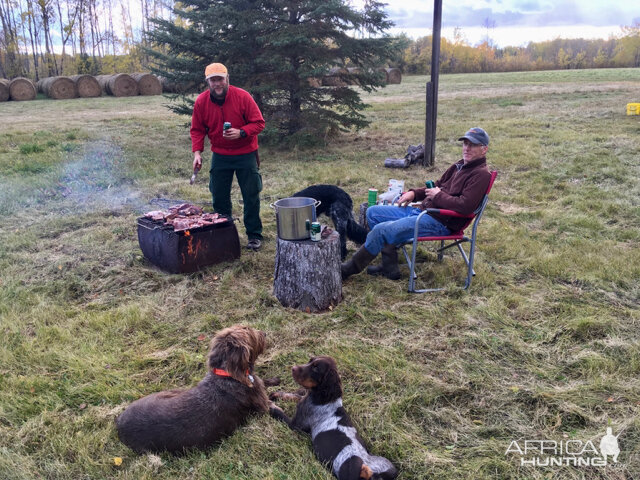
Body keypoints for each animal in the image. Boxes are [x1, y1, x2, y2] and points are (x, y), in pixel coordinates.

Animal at [268, 356, 398, 480]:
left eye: (316, 368)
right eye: (310, 361)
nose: (293, 368)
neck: (325, 399)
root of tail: (376, 474)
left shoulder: (296, 425)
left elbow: (280, 413)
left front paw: (270, 405)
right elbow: (294, 395)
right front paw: (275, 394)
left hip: (353, 465)